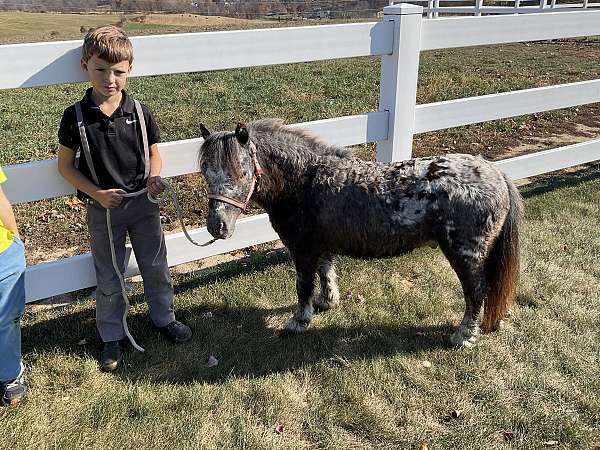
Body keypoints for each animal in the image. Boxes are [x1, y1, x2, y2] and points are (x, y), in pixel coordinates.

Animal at [197, 118, 520, 346]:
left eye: (242, 172)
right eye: (206, 173)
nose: (217, 226)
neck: (306, 180)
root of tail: (496, 172)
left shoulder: (302, 251)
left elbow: (303, 286)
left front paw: (299, 322)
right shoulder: (321, 247)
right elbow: (326, 273)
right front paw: (326, 302)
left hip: (466, 255)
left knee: (476, 292)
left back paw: (464, 336)